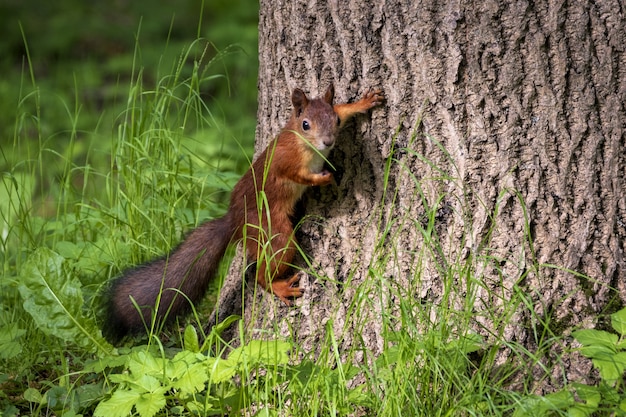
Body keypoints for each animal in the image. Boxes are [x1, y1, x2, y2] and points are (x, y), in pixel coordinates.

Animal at [103, 83, 380, 342]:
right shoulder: (285, 163)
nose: (328, 142)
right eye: (305, 125)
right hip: (273, 233)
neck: (304, 145)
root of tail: (235, 220)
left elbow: (345, 110)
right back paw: (278, 286)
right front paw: (323, 178)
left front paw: (363, 102)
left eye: (334, 120)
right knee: (263, 272)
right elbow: (297, 176)